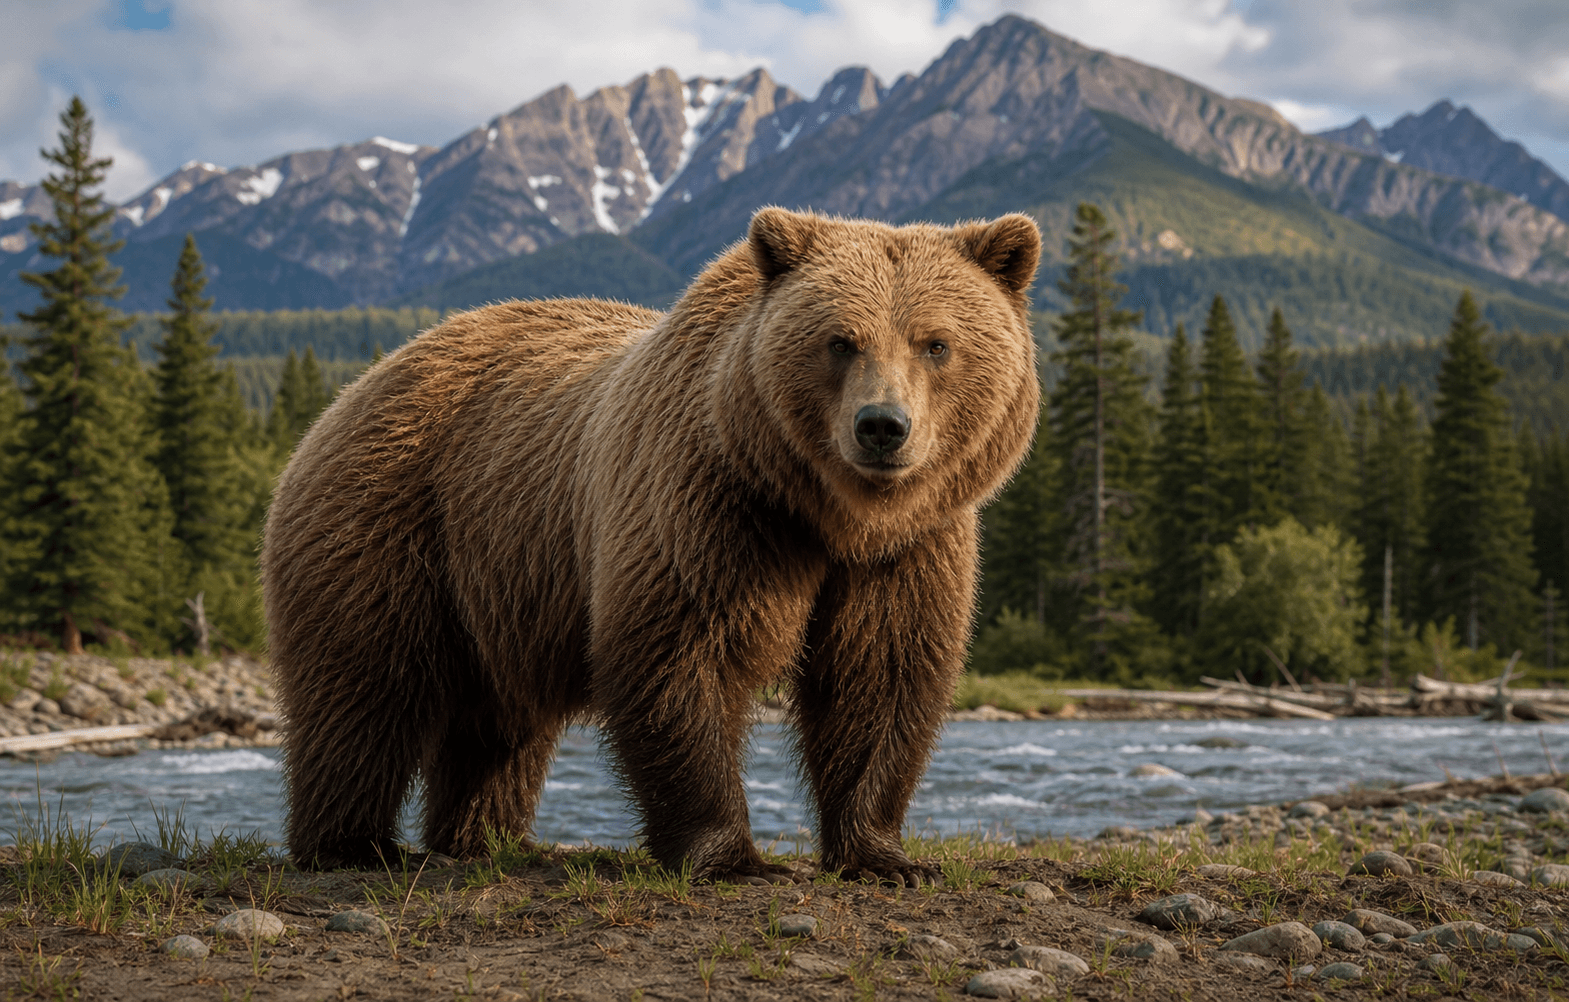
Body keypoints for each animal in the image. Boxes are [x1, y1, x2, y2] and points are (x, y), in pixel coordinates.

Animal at [260, 207, 1041, 884]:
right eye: (840, 340)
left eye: (935, 343)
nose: (882, 426)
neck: (827, 514)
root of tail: (357, 385)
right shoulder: (708, 506)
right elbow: (681, 653)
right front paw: (733, 857)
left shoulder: (907, 549)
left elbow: (880, 674)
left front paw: (885, 856)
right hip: (393, 521)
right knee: (367, 686)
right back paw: (353, 843)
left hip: (502, 582)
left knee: (499, 720)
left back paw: (490, 837)